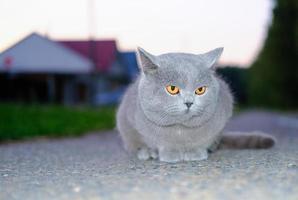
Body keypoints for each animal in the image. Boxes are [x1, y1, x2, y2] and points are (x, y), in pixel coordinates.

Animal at [116, 47, 274, 162]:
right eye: (172, 89)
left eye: (200, 90)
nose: (189, 102)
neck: (180, 131)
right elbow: (159, 143)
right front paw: (169, 154)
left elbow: (201, 142)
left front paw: (195, 152)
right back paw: (148, 152)